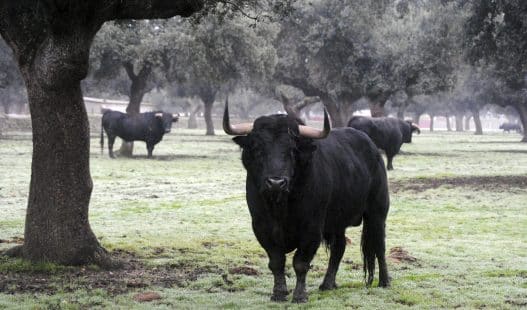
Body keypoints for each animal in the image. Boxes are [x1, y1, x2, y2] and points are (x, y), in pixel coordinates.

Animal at [224, 102, 392, 302]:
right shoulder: (261, 227)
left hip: (377, 212)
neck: (281, 207)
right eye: (258, 148)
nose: (276, 183)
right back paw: (327, 284)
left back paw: (384, 281)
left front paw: (299, 295)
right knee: (339, 248)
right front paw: (279, 293)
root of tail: (373, 149)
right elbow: (276, 261)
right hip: (337, 221)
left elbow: (301, 263)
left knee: (379, 246)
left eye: (292, 150)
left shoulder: (311, 228)